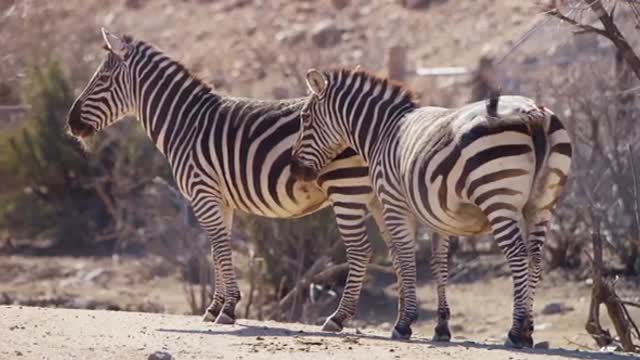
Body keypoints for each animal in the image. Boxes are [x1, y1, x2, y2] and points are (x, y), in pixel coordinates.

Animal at [67, 29, 392, 336]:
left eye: (102, 79)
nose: (71, 123)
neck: (184, 124)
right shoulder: (220, 200)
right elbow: (216, 248)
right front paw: (215, 307)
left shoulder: (203, 193)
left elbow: (221, 249)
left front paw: (228, 309)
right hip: (377, 194)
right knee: (395, 246)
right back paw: (399, 323)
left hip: (346, 189)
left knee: (361, 250)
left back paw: (339, 318)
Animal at [292, 67, 572, 346]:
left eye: (304, 118)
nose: (296, 170)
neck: (381, 131)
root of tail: (533, 113)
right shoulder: (438, 215)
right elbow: (438, 263)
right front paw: (441, 326)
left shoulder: (394, 203)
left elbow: (405, 256)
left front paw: (404, 323)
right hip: (542, 204)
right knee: (536, 258)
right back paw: (527, 330)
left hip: (498, 198)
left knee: (518, 255)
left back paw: (515, 331)